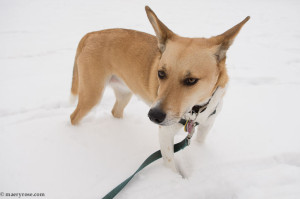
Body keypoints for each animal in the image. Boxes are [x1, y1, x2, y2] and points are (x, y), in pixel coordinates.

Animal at [69, 5, 248, 172]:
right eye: (161, 73)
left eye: (191, 80)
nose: (154, 116)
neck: (196, 109)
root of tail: (91, 34)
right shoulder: (165, 134)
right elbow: (170, 166)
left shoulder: (207, 125)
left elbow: (200, 141)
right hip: (92, 94)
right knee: (73, 117)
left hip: (124, 92)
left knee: (115, 111)